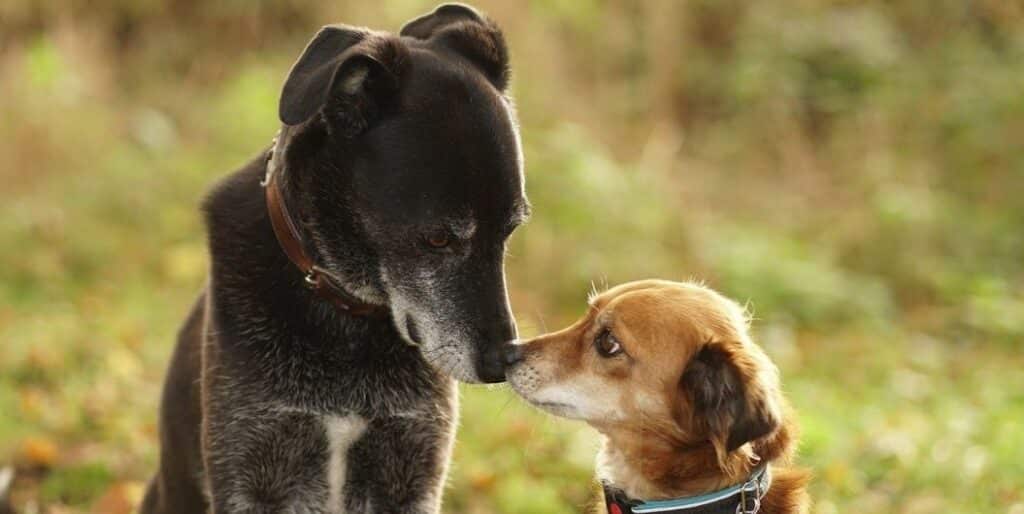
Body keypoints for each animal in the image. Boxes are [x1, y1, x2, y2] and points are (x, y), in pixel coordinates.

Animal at [142, 5, 528, 514]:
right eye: (438, 239)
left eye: (510, 230)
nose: (501, 364)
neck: (346, 314)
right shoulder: (250, 470)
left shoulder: (410, 470)